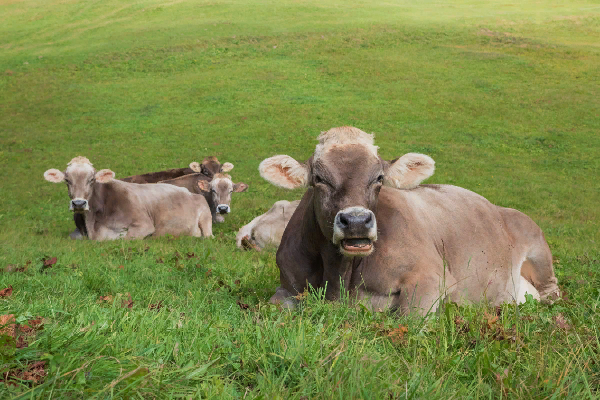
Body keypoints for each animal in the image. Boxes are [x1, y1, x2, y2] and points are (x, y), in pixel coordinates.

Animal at [42, 157, 211, 241]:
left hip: (206, 216)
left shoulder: (144, 225)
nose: (78, 203)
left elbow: (126, 238)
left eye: (92, 180)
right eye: (67, 180)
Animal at [258, 126, 564, 314]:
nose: (356, 221)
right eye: (319, 179)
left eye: (379, 178)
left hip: (538, 251)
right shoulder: (286, 286)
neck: (338, 278)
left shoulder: (430, 277)